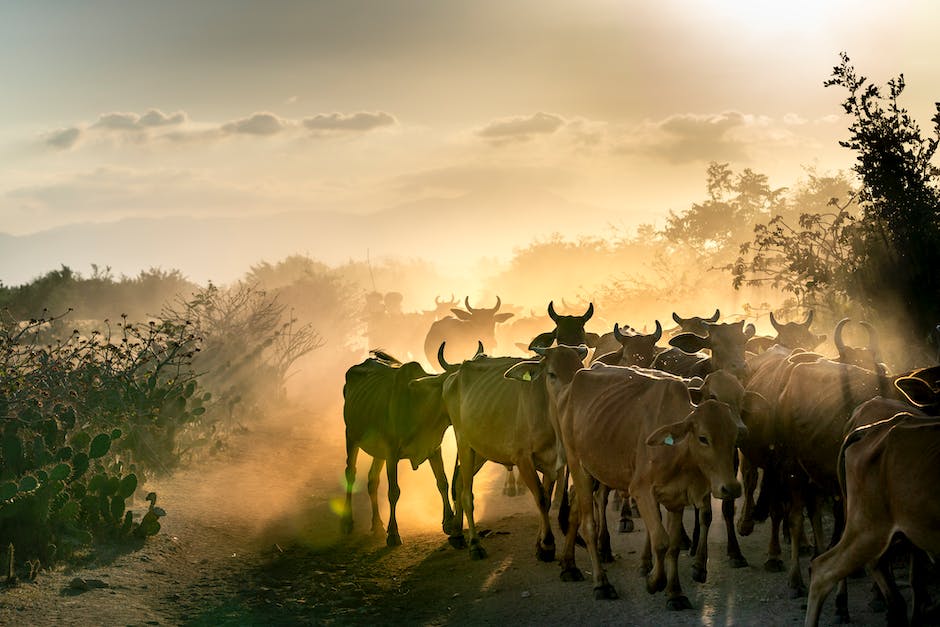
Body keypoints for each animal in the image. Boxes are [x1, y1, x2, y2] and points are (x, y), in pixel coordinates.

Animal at [344, 350, 458, 548]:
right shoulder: (392, 454)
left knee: (372, 480)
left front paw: (449, 522)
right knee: (350, 473)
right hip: (351, 436)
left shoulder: (434, 448)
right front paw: (393, 534)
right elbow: (394, 492)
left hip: (377, 451)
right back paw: (348, 523)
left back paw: (377, 525)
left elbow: (442, 482)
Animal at [440, 346, 588, 560]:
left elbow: (546, 497)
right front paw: (547, 545)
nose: (572, 396)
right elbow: (540, 499)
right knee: (467, 492)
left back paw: (458, 534)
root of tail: (455, 375)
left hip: (481, 449)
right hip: (464, 442)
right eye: (552, 374)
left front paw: (540, 544)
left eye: (579, 369)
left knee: (459, 480)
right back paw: (474, 544)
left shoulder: (551, 463)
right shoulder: (523, 459)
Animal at [528, 364, 740, 608]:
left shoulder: (676, 497)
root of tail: (569, 387)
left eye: (734, 437)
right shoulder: (641, 490)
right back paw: (601, 583)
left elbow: (674, 546)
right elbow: (661, 541)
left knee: (574, 512)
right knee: (588, 525)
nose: (731, 488)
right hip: (577, 465)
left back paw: (569, 565)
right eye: (703, 438)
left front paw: (675, 593)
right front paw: (654, 581)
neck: (677, 451)